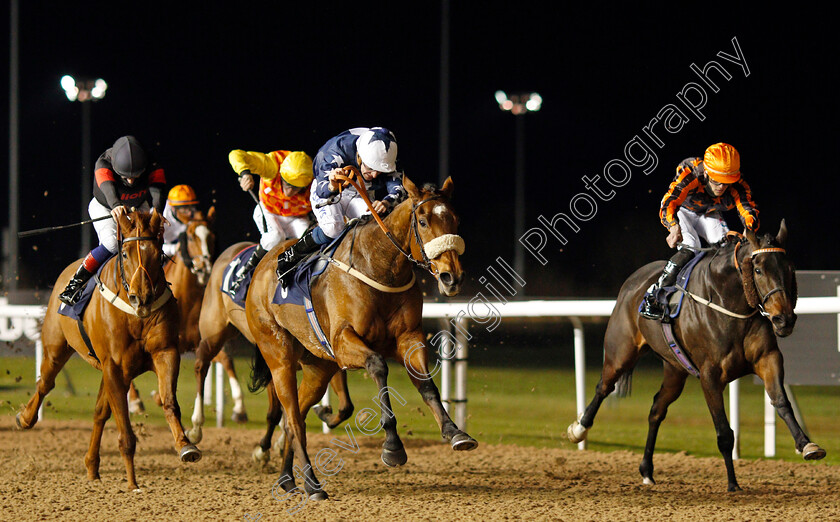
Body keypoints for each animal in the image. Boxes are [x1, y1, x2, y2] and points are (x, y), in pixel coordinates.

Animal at [17, 209, 201, 490]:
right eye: (124, 254)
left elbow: (169, 401)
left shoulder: (165, 352)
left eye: (157, 254)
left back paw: (92, 465)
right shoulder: (114, 365)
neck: (136, 316)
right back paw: (25, 418)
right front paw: (133, 483)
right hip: (56, 349)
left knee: (99, 413)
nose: (141, 297)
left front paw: (186, 445)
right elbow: (124, 427)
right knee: (45, 384)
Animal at [187, 240, 354, 456]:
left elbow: (344, 406)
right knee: (201, 365)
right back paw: (196, 427)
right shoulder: (276, 361)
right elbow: (278, 410)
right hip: (213, 331)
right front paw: (264, 449)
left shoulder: (324, 355)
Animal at [246, 176, 476, 500]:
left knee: (296, 419)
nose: (451, 277)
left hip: (318, 367)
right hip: (278, 356)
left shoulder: (409, 337)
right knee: (291, 417)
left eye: (455, 219)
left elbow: (426, 383)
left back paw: (288, 478)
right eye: (422, 220)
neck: (378, 265)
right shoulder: (343, 342)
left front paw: (455, 432)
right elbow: (379, 366)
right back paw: (313, 484)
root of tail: (261, 268)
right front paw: (392, 447)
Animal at [568, 221, 824, 490]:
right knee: (603, 387)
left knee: (657, 409)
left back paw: (647, 470)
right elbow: (724, 432)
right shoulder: (710, 375)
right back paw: (579, 429)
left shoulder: (768, 359)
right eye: (758, 269)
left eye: (789, 268)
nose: (784, 319)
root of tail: (632, 282)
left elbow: (781, 402)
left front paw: (807, 444)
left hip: (675, 370)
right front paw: (733, 484)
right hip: (621, 352)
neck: (730, 303)